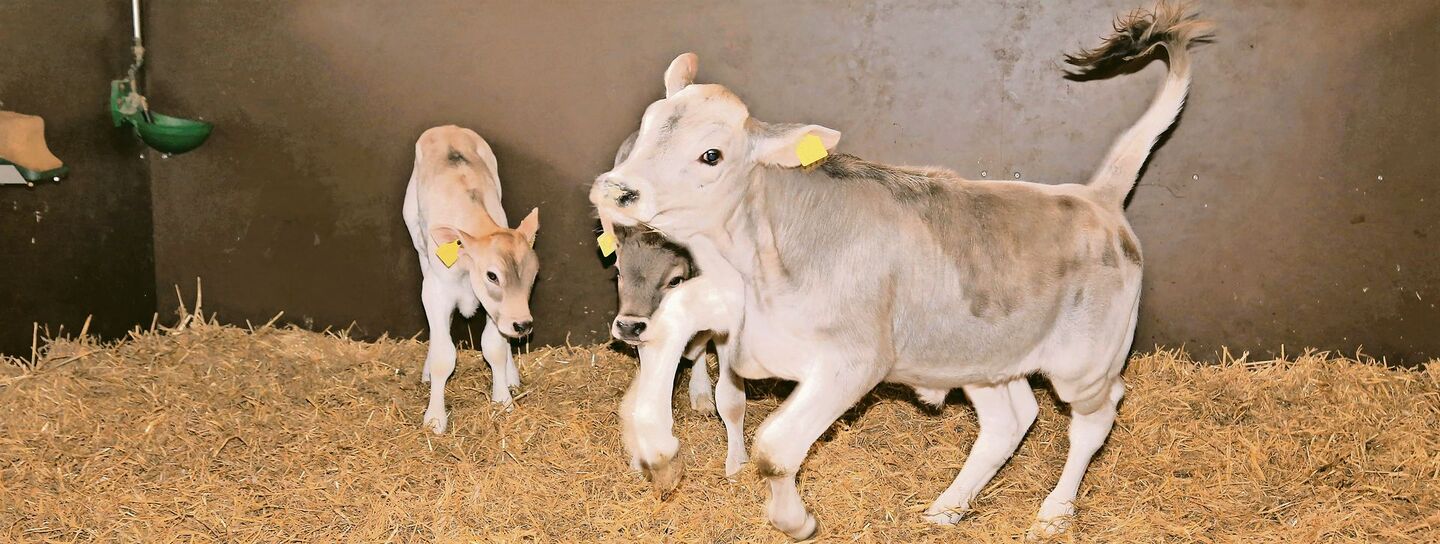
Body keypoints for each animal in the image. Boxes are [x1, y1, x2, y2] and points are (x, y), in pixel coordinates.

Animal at [403, 125, 540, 434]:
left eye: (533, 274)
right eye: (492, 275)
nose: (524, 325)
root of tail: (447, 127)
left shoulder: (497, 310)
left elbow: (495, 347)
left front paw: (503, 400)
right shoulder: (436, 292)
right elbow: (444, 356)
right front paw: (434, 418)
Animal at [589, 3, 1210, 539]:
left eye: (711, 155)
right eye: (649, 124)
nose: (617, 189)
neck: (756, 261)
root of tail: (1096, 198)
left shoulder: (856, 359)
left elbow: (775, 446)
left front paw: (795, 520)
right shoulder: (734, 310)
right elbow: (672, 323)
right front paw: (654, 450)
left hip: (1085, 363)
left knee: (1096, 418)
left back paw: (1053, 514)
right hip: (981, 358)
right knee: (1011, 420)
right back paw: (947, 507)